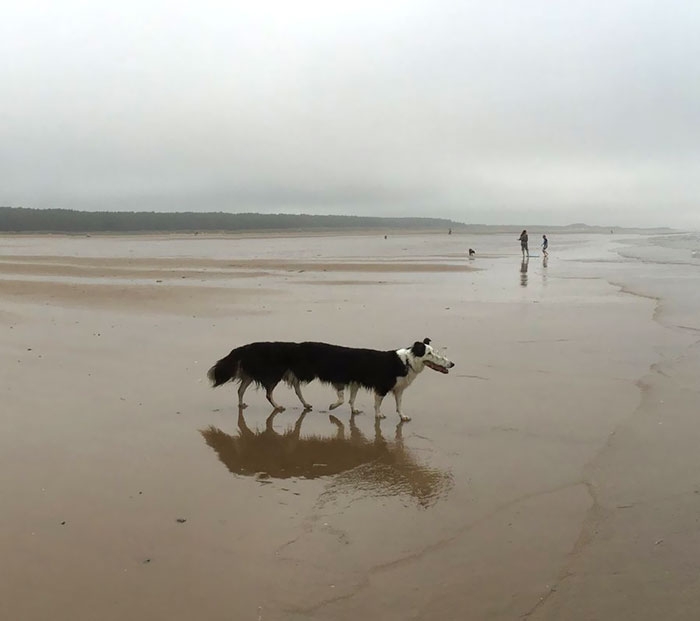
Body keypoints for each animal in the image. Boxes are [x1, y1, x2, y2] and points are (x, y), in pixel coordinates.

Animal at [206, 340, 454, 422]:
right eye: (430, 353)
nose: (452, 364)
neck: (406, 361)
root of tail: (248, 347)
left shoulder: (392, 388)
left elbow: (396, 404)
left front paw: (402, 417)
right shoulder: (375, 385)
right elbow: (360, 401)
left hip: (276, 374)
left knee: (242, 388)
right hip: (274, 374)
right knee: (267, 392)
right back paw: (278, 406)